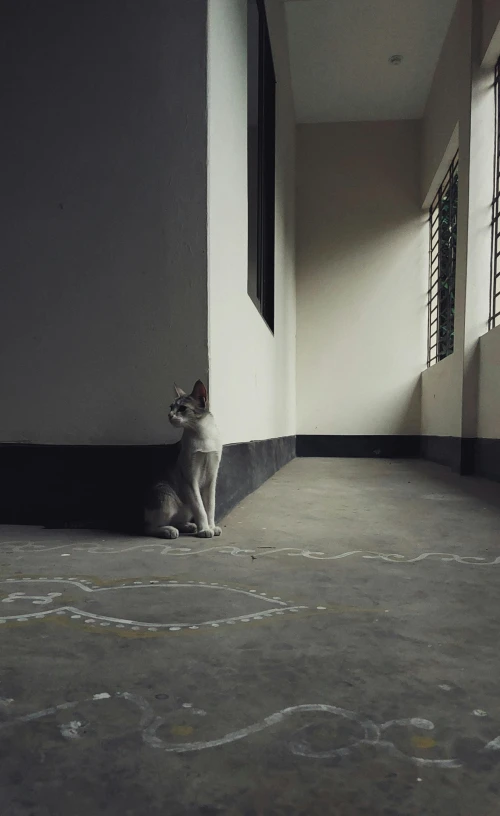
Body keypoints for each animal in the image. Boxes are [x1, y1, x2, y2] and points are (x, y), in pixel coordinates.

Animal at [145, 380, 223, 540]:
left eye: (182, 408)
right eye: (171, 407)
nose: (169, 415)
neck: (203, 435)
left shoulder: (212, 478)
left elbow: (210, 506)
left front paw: (211, 527)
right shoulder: (190, 479)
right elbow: (200, 508)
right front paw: (205, 529)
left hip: (185, 505)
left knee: (177, 520)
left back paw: (189, 526)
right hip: (166, 495)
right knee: (149, 528)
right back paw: (169, 530)